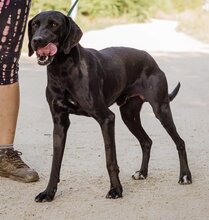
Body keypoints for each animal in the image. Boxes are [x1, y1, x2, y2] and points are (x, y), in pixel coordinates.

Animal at [28, 11, 193, 202]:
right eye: (35, 24)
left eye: (54, 24)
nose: (37, 40)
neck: (62, 69)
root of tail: (151, 58)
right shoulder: (59, 122)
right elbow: (55, 163)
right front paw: (48, 192)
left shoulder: (106, 118)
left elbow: (110, 160)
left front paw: (116, 190)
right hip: (128, 116)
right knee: (146, 141)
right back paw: (142, 173)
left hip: (161, 109)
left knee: (180, 142)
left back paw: (185, 176)